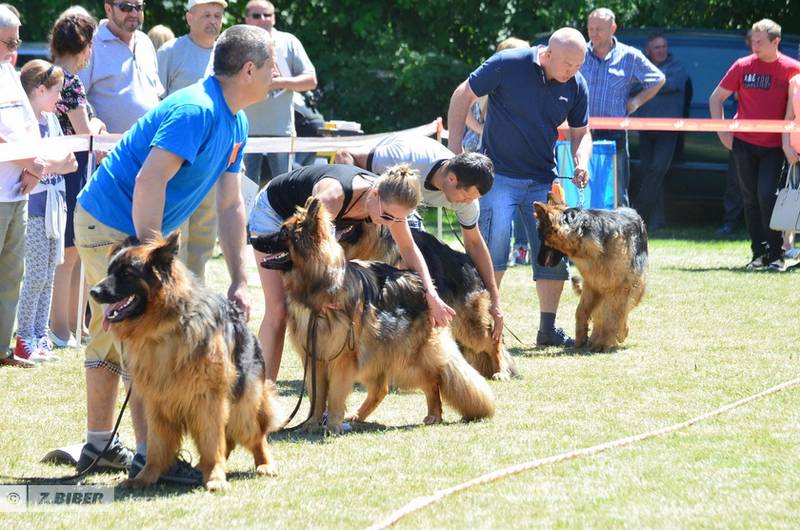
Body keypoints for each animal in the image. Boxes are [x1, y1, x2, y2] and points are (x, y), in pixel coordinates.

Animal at [90, 233, 281, 491]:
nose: (93, 291)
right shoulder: (156, 403)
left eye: (127, 273)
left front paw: (215, 477)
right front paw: (145, 477)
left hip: (243, 406)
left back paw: (264, 464)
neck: (165, 328)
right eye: (110, 270)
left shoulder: (208, 400)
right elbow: (156, 447)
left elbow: (213, 442)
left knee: (254, 435)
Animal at [252, 197, 495, 434]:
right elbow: (318, 396)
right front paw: (312, 424)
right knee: (382, 389)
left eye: (284, 232)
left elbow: (336, 395)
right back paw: (358, 416)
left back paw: (434, 414)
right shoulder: (315, 358)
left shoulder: (342, 359)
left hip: (406, 358)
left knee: (434, 378)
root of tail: (425, 285)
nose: (252, 238)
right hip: (376, 354)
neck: (318, 287)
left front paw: (332, 426)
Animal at [533, 195, 648, 352]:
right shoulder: (593, 285)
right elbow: (581, 311)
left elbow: (612, 314)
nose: (537, 262)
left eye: (541, 239)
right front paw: (582, 338)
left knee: (620, 311)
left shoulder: (618, 287)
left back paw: (618, 333)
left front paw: (604, 342)